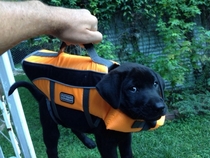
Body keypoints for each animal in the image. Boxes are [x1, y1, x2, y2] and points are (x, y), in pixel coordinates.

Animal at [9, 63, 167, 158]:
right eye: (133, 89)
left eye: (155, 84)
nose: (161, 107)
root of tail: (42, 95)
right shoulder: (106, 142)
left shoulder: (125, 139)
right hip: (50, 125)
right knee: (51, 146)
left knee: (73, 127)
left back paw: (88, 141)